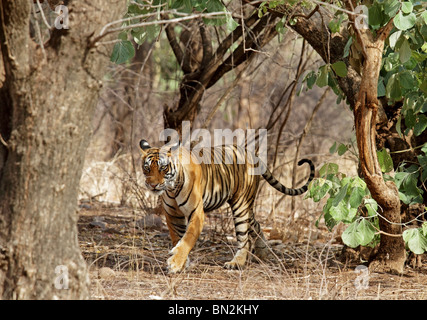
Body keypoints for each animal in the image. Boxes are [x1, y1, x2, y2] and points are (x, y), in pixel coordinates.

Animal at [139, 139, 316, 274]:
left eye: (163, 167)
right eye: (147, 168)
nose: (153, 185)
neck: (172, 188)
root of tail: (251, 153)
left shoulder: (196, 213)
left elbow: (187, 238)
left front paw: (175, 263)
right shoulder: (173, 215)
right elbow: (178, 237)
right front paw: (182, 263)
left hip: (241, 205)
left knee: (244, 238)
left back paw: (236, 263)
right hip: (246, 206)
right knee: (256, 225)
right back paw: (262, 252)